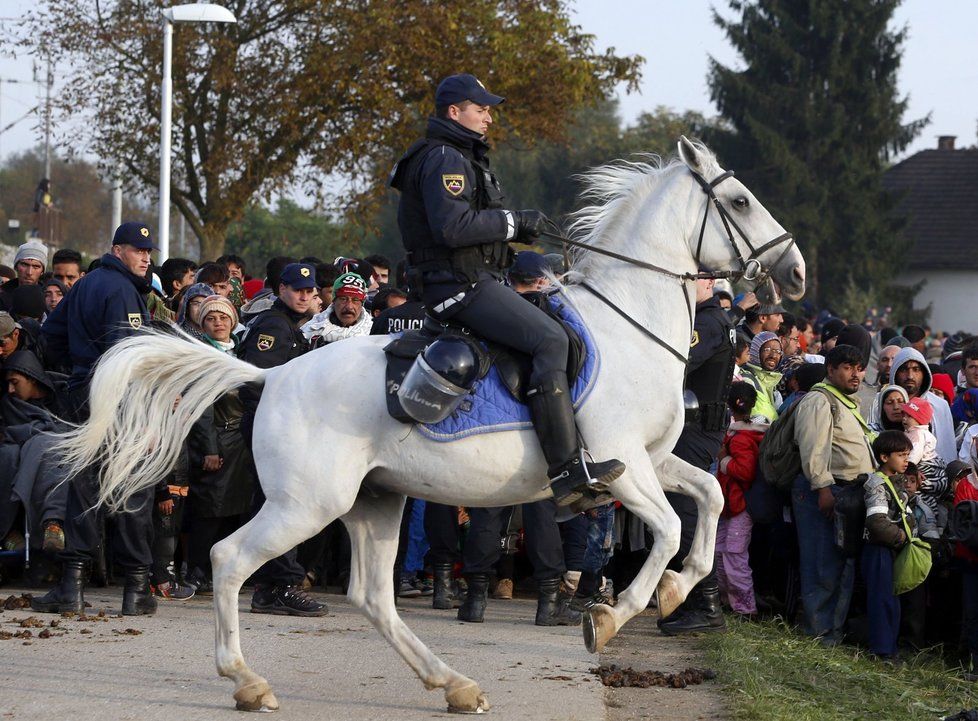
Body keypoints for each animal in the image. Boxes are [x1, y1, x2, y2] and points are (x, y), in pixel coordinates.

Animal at [55, 138, 800, 712]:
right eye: (739, 202)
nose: (793, 270)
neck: (629, 325)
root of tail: (273, 376)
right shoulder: (618, 462)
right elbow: (670, 528)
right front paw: (612, 617)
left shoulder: (649, 459)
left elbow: (708, 498)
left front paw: (677, 590)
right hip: (307, 504)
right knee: (227, 559)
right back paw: (247, 681)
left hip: (375, 501)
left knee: (372, 597)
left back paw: (454, 683)